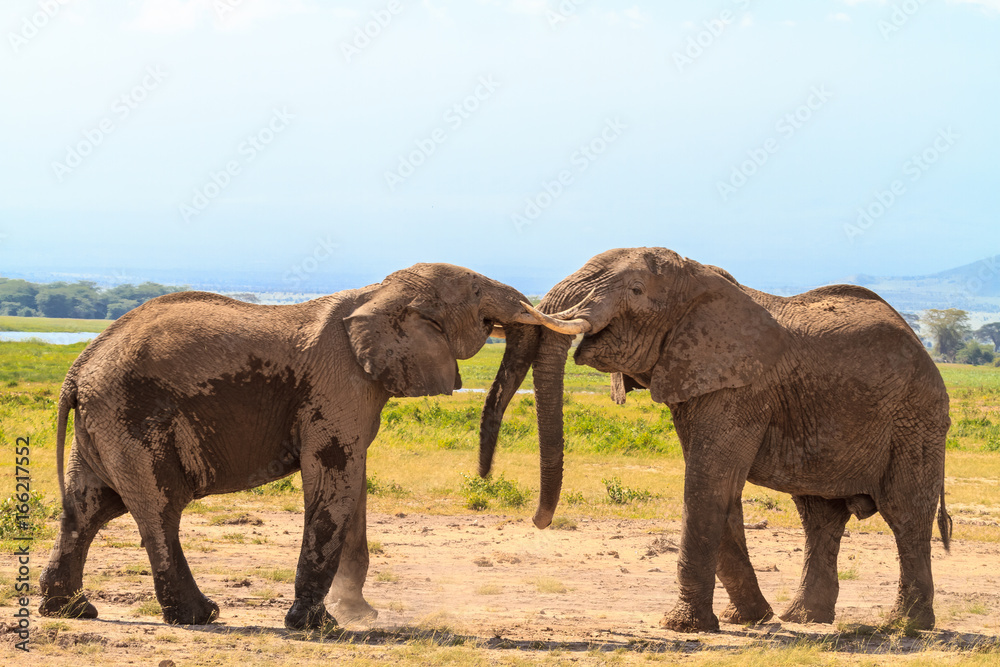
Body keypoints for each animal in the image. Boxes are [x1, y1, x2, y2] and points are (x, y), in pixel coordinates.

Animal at [39, 263, 540, 629]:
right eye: (475, 291)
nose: (484, 473)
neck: (379, 292)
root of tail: (77, 369)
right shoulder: (337, 385)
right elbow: (332, 480)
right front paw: (320, 627)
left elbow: (352, 483)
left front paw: (358, 616)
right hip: (131, 416)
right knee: (159, 508)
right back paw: (200, 616)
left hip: (103, 421)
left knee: (88, 506)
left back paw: (72, 612)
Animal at [479, 247, 952, 632]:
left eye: (636, 290)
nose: (539, 520)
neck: (698, 278)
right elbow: (720, 488)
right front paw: (749, 619)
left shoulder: (740, 387)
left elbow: (708, 483)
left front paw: (682, 627)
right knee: (820, 516)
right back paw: (803, 619)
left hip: (917, 418)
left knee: (905, 513)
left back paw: (905, 627)